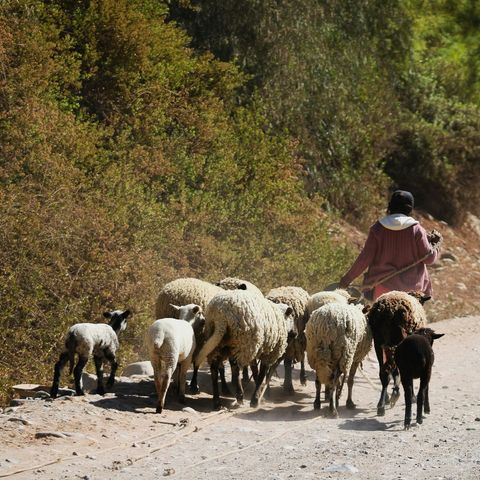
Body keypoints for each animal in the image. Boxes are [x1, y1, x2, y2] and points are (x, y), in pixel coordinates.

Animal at [368, 288, 432, 416]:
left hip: (378, 342)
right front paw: (407, 395)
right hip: (399, 339)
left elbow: (395, 371)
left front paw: (392, 394)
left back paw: (382, 404)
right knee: (394, 369)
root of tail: (389, 311)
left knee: (384, 372)